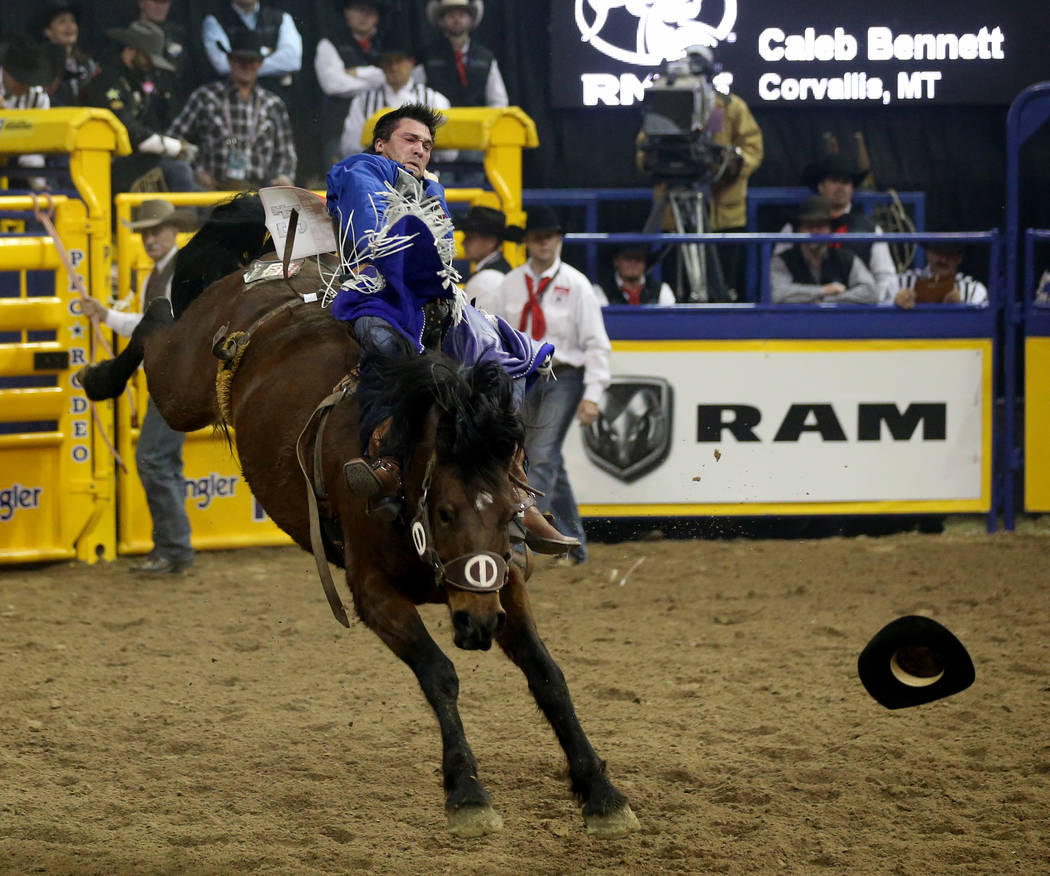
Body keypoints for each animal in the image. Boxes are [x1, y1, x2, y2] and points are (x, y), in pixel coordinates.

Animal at [77, 194, 634, 836]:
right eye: (445, 512)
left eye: (508, 513)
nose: (478, 624)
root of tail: (281, 271)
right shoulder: (371, 592)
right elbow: (440, 674)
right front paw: (468, 792)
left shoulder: (507, 582)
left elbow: (549, 678)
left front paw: (601, 792)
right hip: (183, 385)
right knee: (153, 323)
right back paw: (97, 375)